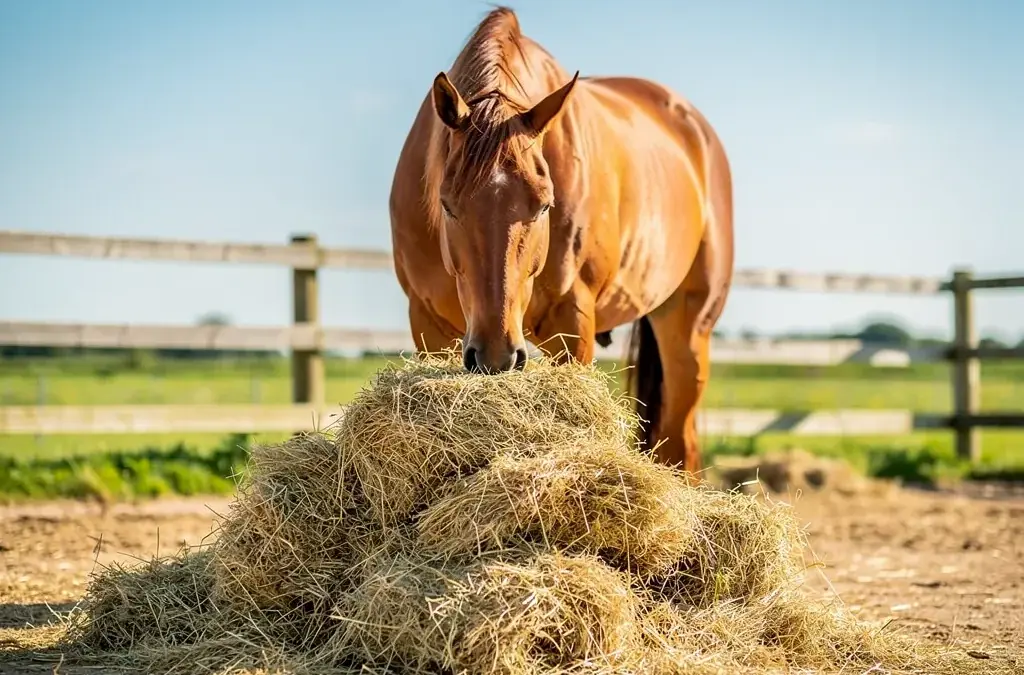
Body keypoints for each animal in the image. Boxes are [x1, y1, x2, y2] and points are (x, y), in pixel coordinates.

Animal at [388, 6, 734, 477]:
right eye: (447, 204)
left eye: (544, 205)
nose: (496, 357)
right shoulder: (427, 323)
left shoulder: (572, 322)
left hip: (690, 328)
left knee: (679, 444)